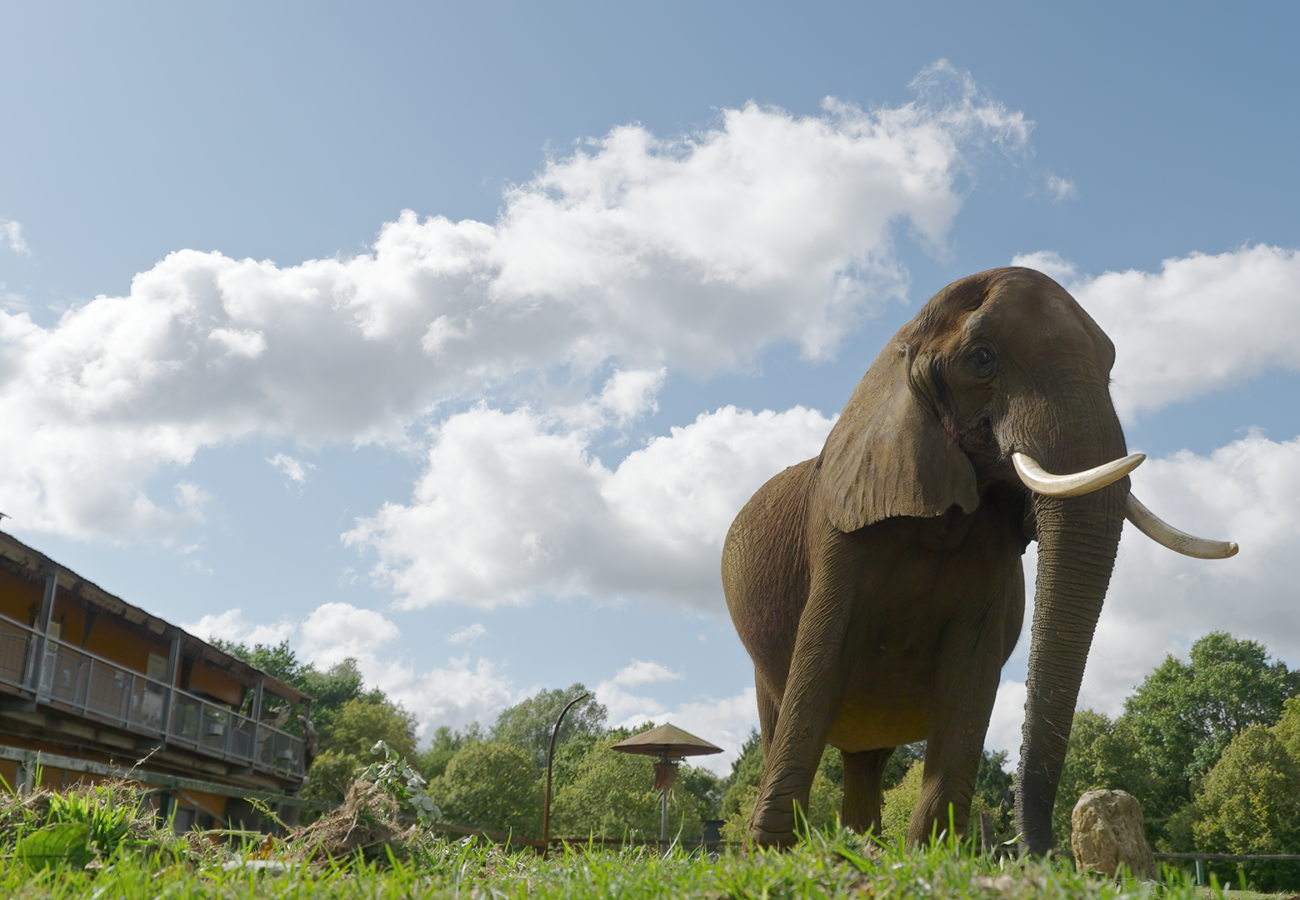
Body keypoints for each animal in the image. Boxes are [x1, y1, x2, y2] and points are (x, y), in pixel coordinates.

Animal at [721, 266, 1236, 854]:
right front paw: (771, 854)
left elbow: (972, 667)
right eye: (982, 358)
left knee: (867, 759)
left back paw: (865, 845)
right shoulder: (838, 527)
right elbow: (822, 654)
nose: (1038, 850)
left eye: (1109, 367)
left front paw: (931, 853)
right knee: (781, 716)